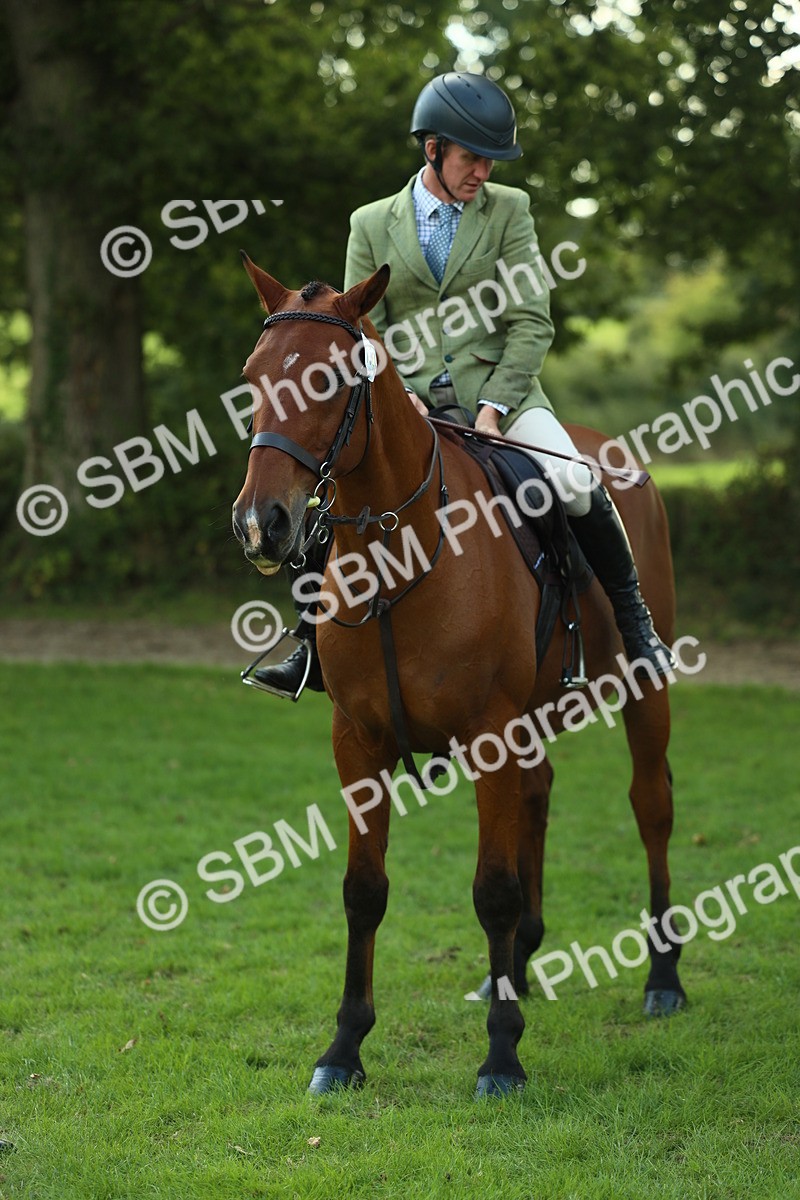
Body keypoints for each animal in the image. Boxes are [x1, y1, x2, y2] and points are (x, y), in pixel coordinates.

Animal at [232, 254, 686, 1098]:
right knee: (539, 800)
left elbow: (492, 891)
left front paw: (502, 1056)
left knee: (652, 809)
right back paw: (521, 969)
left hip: (643, 698)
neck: (400, 551)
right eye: (252, 376)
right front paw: (344, 1048)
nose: (260, 524)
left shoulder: (487, 735)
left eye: (330, 380)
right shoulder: (358, 741)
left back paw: (663, 977)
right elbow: (363, 892)